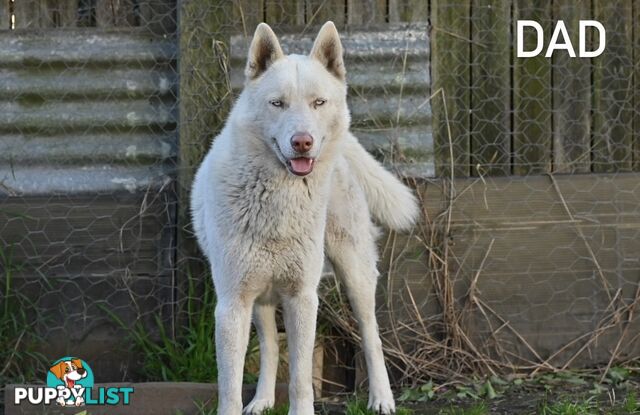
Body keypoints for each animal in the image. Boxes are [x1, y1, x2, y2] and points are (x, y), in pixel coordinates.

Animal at [190, 21, 420, 414]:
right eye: (277, 103)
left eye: (318, 102)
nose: (303, 142)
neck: (278, 199)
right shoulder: (233, 304)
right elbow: (230, 385)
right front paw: (248, 400)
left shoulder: (302, 298)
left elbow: (300, 380)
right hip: (262, 297)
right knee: (269, 344)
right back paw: (263, 400)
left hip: (355, 273)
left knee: (372, 336)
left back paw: (381, 399)